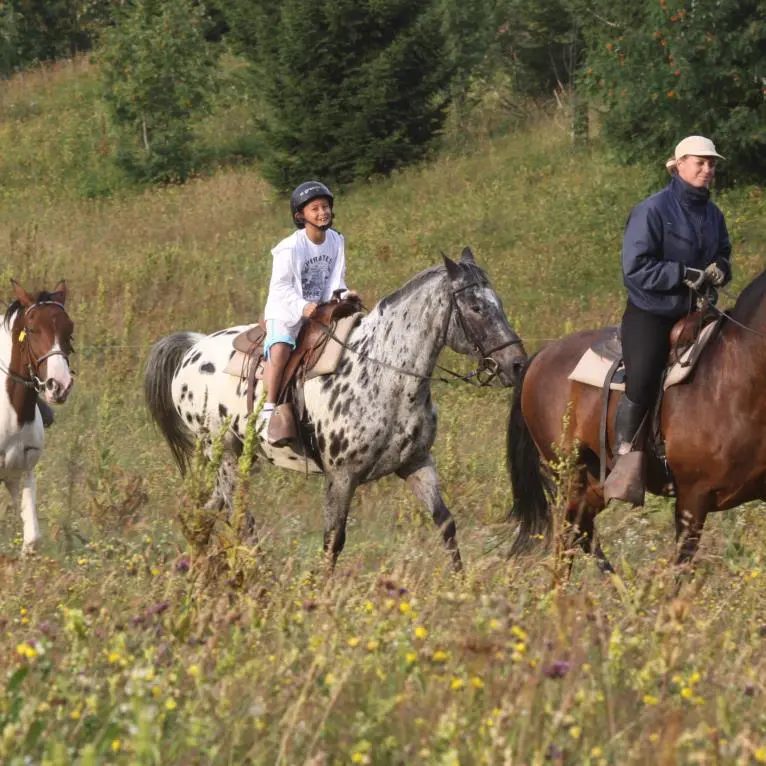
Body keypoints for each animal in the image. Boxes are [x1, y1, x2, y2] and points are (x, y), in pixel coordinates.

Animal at [144, 248, 527, 569]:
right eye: (476, 308)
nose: (517, 364)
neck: (384, 373)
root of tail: (193, 349)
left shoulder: (416, 463)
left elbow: (446, 523)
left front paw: (462, 586)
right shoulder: (341, 477)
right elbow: (333, 541)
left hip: (240, 458)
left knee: (204, 512)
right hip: (221, 453)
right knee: (240, 520)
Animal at [507, 269, 766, 574]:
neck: (734, 380)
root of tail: (541, 356)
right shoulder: (692, 500)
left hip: (594, 480)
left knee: (583, 531)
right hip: (570, 476)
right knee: (568, 538)